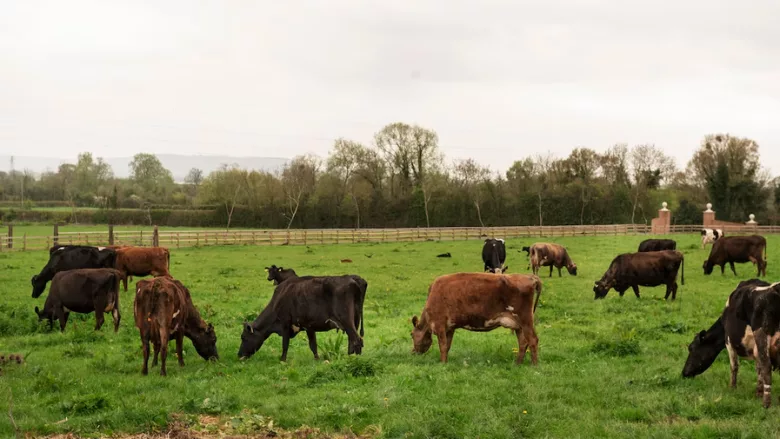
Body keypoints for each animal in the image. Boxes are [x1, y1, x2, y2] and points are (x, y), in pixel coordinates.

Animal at [410, 272, 542, 364]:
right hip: (518, 325)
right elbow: (447, 346)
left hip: (525, 320)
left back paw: (534, 365)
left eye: (411, 334)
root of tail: (530, 277)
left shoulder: (439, 324)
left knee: (533, 340)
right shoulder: (450, 328)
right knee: (523, 343)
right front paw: (445, 362)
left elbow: (442, 346)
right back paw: (517, 363)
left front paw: (442, 363)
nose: (412, 352)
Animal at [682, 279, 780, 408]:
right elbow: (758, 368)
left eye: (691, 348)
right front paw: (758, 392)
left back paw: (766, 404)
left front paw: (732, 388)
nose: (684, 373)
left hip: (761, 334)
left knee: (766, 366)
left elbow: (734, 366)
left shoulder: (729, 341)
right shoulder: (755, 350)